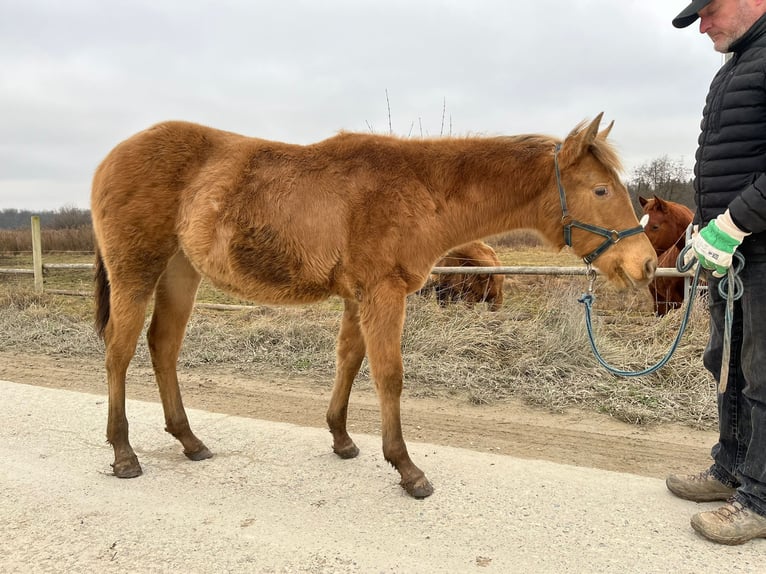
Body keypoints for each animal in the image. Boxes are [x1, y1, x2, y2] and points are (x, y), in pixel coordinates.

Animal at [91, 114, 656, 499]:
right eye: (600, 189)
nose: (647, 264)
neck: (420, 190)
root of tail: (110, 157)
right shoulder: (383, 294)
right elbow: (388, 375)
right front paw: (407, 468)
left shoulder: (358, 298)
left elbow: (349, 361)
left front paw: (342, 438)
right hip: (135, 273)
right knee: (118, 352)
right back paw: (124, 453)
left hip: (179, 274)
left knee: (163, 348)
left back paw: (189, 440)